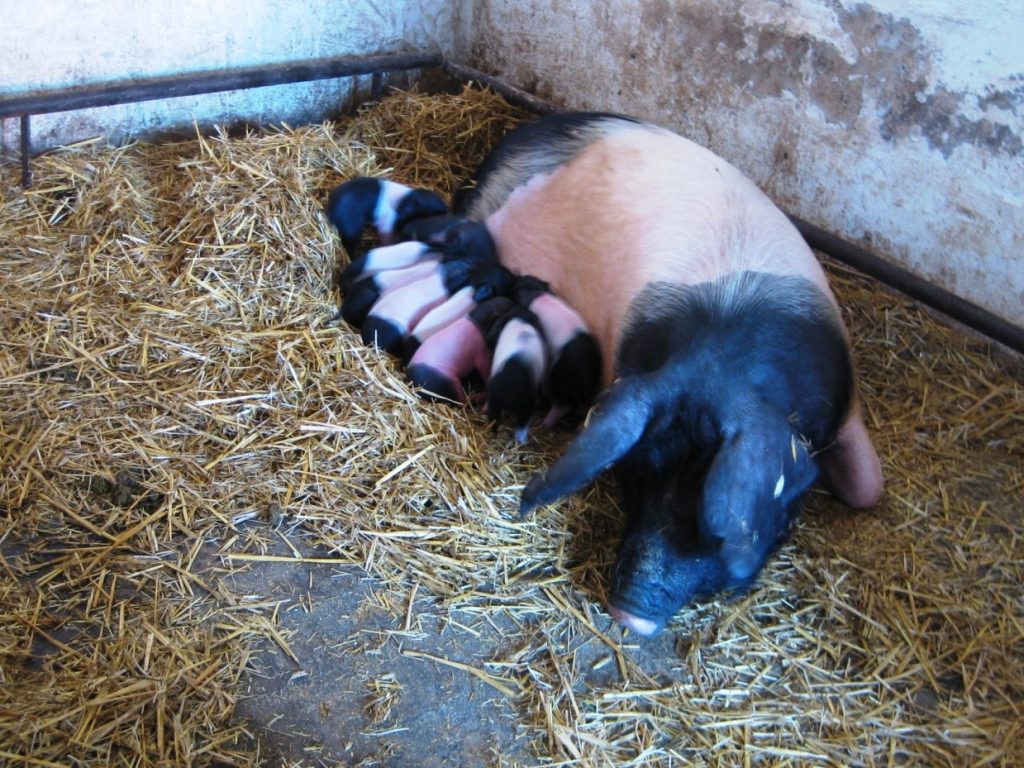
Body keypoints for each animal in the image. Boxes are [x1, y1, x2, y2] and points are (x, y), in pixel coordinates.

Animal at [485, 303, 548, 443]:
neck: (521, 318)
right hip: (527, 405)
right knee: (520, 425)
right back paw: (522, 441)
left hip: (495, 400)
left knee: (495, 417)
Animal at [510, 275, 602, 427]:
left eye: (516, 287)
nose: (517, 277)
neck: (537, 293)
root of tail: (585, 379)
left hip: (558, 377)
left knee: (562, 404)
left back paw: (546, 423)